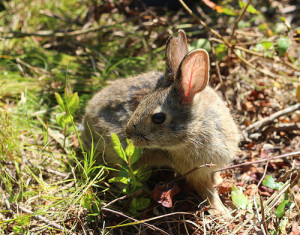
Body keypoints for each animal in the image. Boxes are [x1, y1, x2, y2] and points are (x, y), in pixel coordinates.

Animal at [81, 29, 239, 215]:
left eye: (158, 118)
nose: (129, 134)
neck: (200, 126)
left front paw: (220, 182)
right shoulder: (195, 171)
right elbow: (207, 191)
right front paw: (223, 212)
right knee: (117, 176)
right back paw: (144, 192)